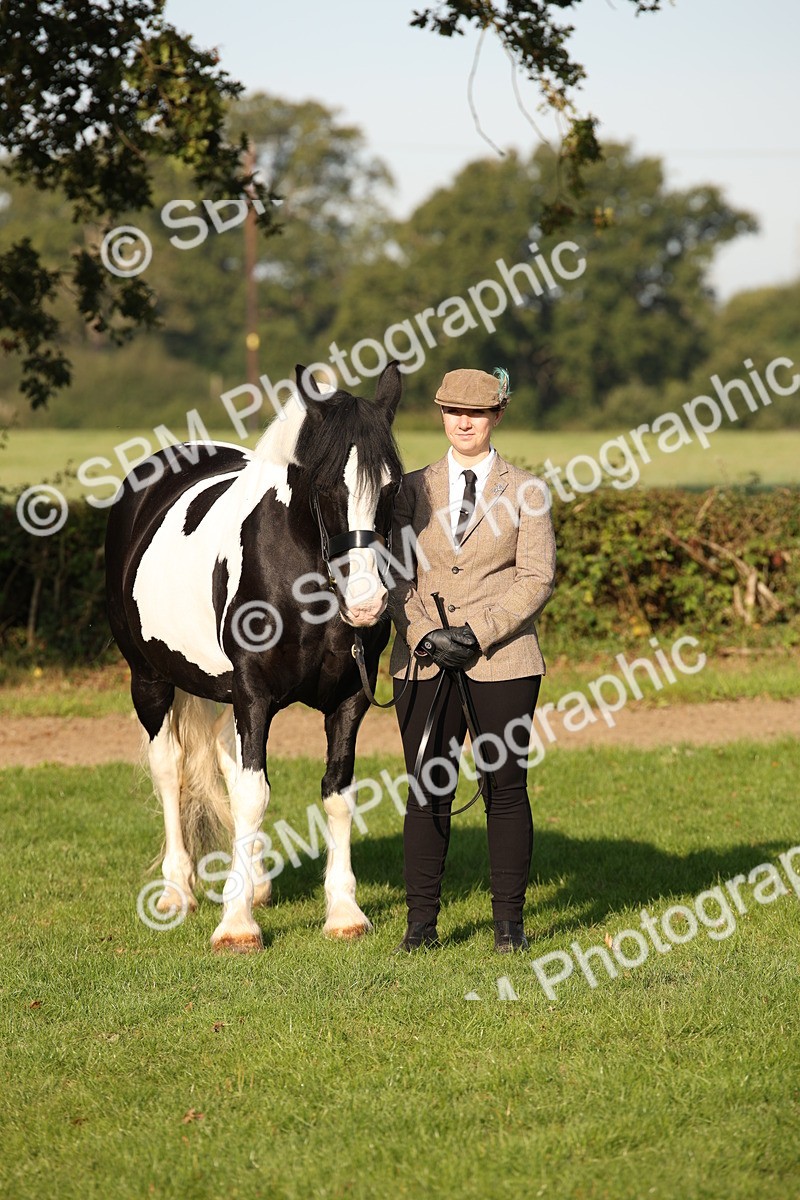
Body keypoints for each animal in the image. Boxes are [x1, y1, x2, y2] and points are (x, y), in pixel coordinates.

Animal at [105, 362, 403, 952]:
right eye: (328, 485)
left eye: (392, 483)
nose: (366, 604)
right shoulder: (255, 693)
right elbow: (252, 795)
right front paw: (236, 925)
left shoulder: (348, 699)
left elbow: (336, 792)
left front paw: (344, 912)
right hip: (149, 680)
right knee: (169, 768)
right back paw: (178, 890)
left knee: (223, 754)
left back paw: (256, 882)